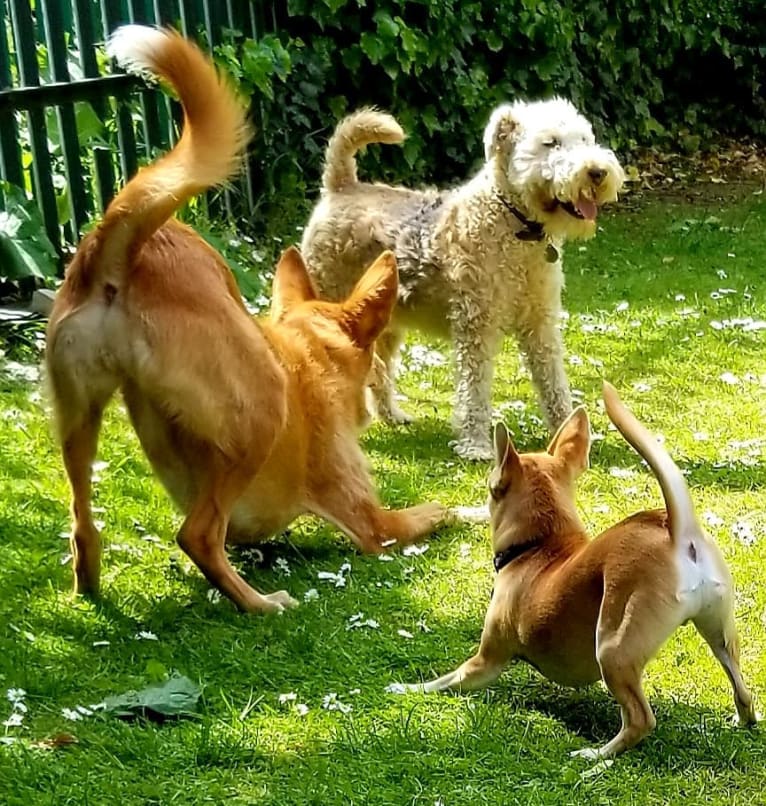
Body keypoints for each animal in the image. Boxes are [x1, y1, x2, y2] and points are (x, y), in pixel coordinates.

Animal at [45, 26, 450, 620]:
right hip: (261, 411)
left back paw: (92, 588)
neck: (311, 354)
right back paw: (260, 602)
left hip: (78, 419)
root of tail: (125, 250)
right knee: (198, 534)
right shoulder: (373, 522)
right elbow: (437, 511)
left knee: (83, 528)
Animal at [300, 99, 624, 460]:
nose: (597, 172)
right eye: (550, 142)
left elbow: (554, 383)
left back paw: (392, 415)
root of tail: (341, 185)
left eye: (584, 138)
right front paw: (476, 445)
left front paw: (568, 429)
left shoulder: (540, 324)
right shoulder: (476, 325)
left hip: (387, 323)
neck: (516, 224)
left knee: (380, 370)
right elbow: (474, 389)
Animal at [392, 384, 760, 756]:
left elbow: (446, 679)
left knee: (640, 720)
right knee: (743, 690)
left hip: (613, 648)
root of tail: (675, 530)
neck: (539, 544)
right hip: (719, 633)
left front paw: (407, 688)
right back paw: (741, 720)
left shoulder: (485, 661)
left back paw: (596, 757)